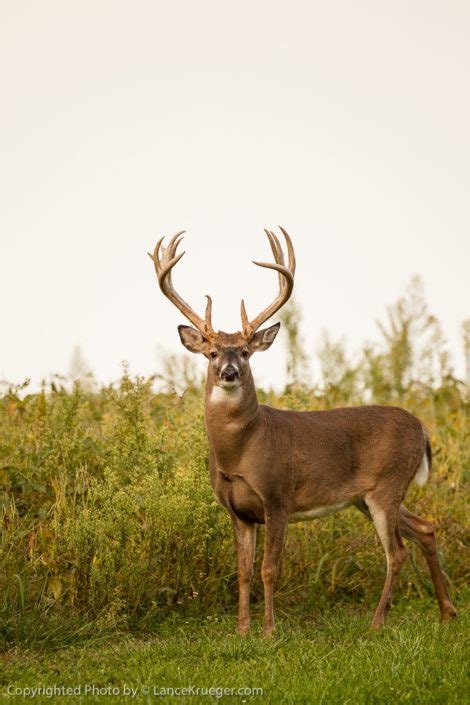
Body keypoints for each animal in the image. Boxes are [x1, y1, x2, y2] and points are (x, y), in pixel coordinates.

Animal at [149, 228, 458, 636]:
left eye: (245, 352)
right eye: (213, 353)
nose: (229, 372)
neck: (240, 450)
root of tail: (422, 428)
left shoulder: (278, 496)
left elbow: (268, 569)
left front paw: (268, 631)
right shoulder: (237, 511)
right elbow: (243, 572)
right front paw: (242, 630)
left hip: (388, 484)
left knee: (397, 551)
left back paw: (377, 622)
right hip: (367, 496)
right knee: (425, 528)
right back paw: (447, 612)